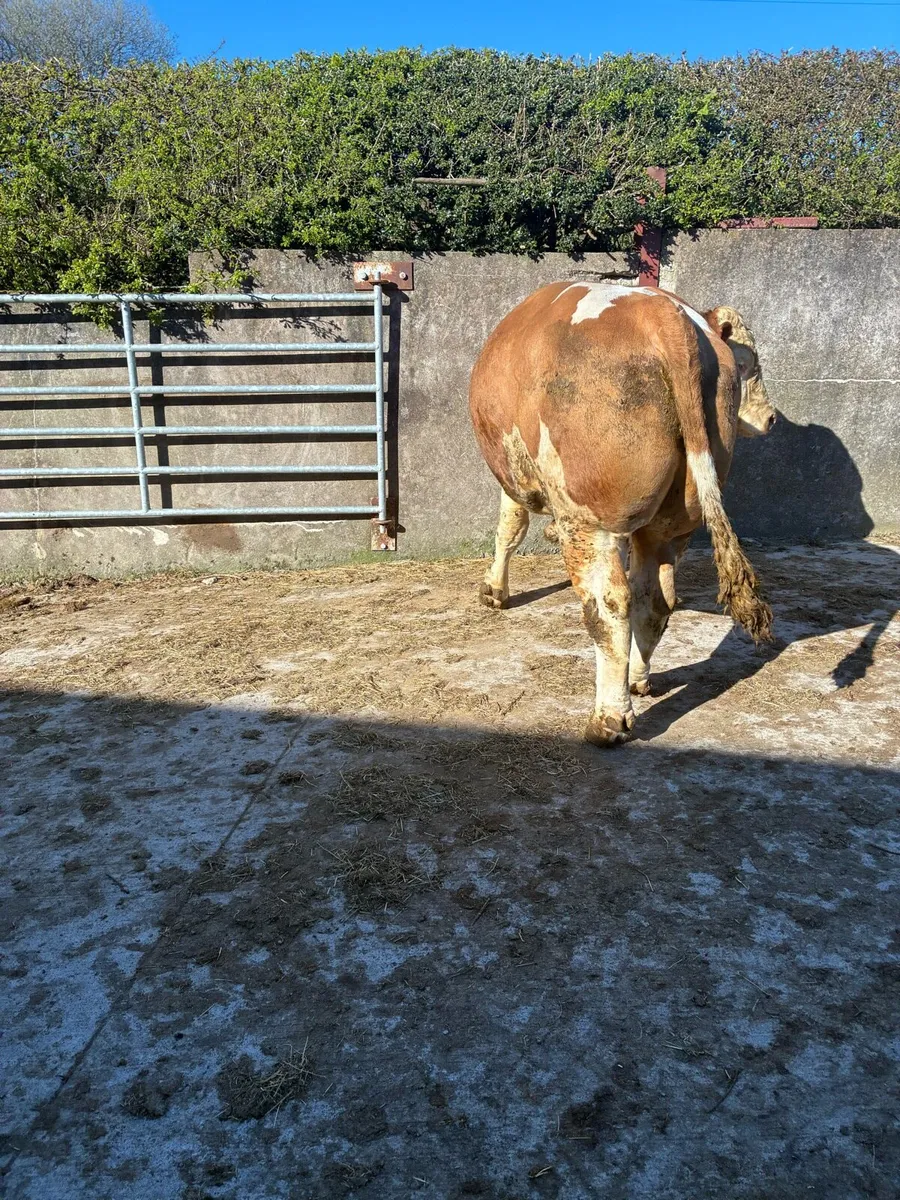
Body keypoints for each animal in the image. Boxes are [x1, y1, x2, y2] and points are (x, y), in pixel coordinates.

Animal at [468, 282, 776, 747]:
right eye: (747, 364)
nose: (772, 418)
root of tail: (664, 313)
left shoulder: (514, 471)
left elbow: (510, 528)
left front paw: (494, 592)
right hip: (672, 521)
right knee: (654, 599)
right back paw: (638, 679)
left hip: (591, 521)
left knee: (610, 604)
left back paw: (608, 720)